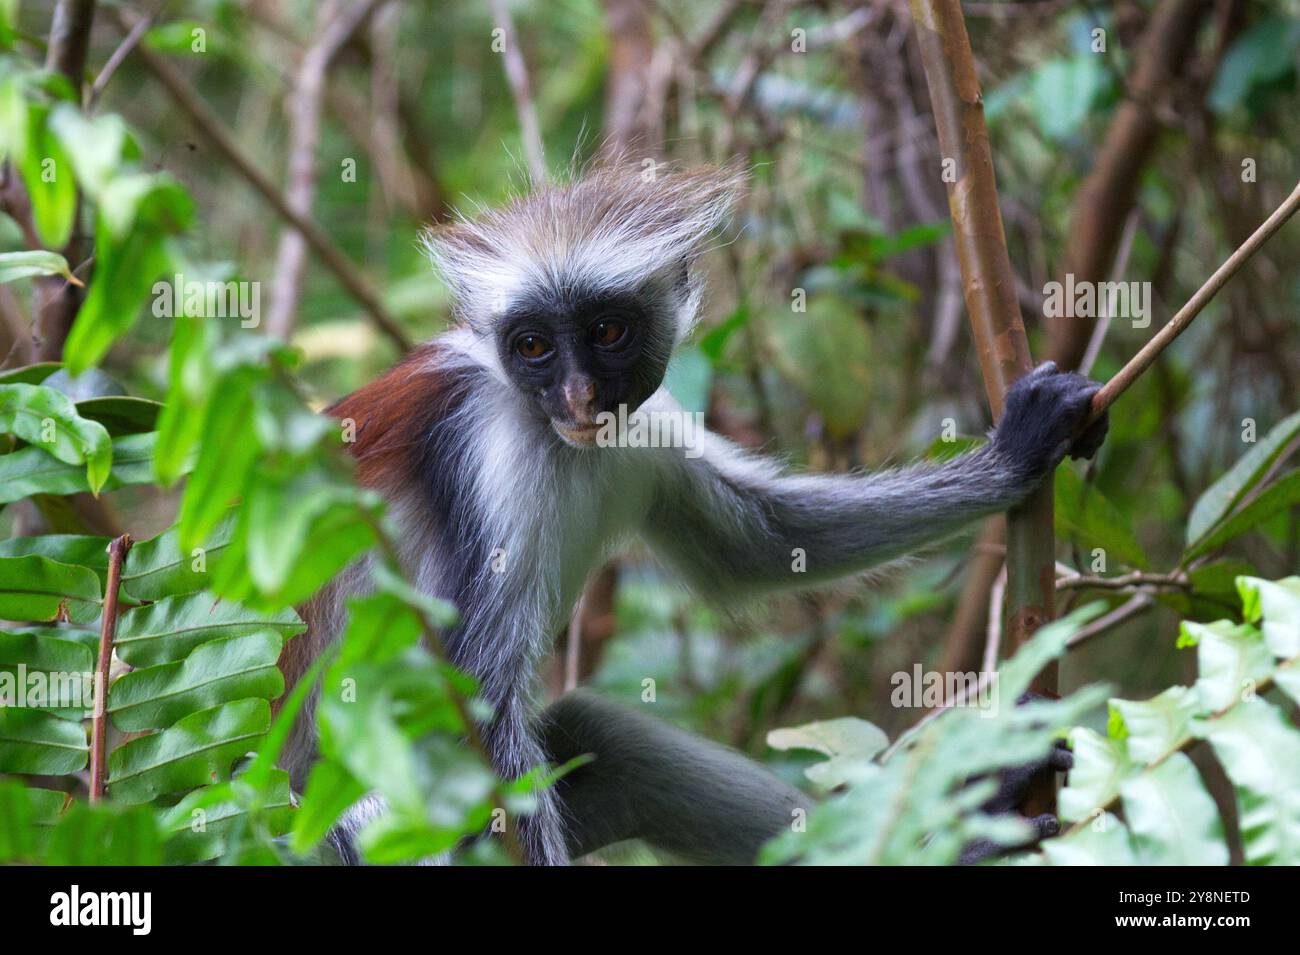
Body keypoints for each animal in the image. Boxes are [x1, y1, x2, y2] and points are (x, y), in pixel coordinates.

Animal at [275, 164, 1109, 866]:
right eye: (534, 344)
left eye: (607, 331)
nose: (577, 395)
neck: (556, 439)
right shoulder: (492, 454)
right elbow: (476, 700)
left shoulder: (644, 430)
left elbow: (761, 544)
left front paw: (1015, 455)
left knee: (607, 738)